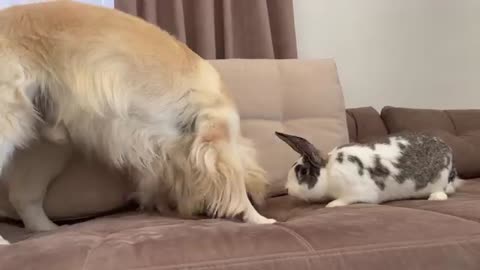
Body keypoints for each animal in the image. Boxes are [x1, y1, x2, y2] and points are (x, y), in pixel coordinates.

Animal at [0, 0, 274, 240]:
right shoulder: (216, 137)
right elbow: (237, 186)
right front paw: (258, 218)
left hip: (47, 148)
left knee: (24, 197)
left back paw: (46, 229)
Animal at [276, 132, 464, 208]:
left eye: (303, 172)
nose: (287, 189)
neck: (329, 171)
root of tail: (448, 149)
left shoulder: (357, 194)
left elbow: (344, 200)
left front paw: (332, 204)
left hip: (439, 179)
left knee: (441, 191)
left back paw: (436, 198)